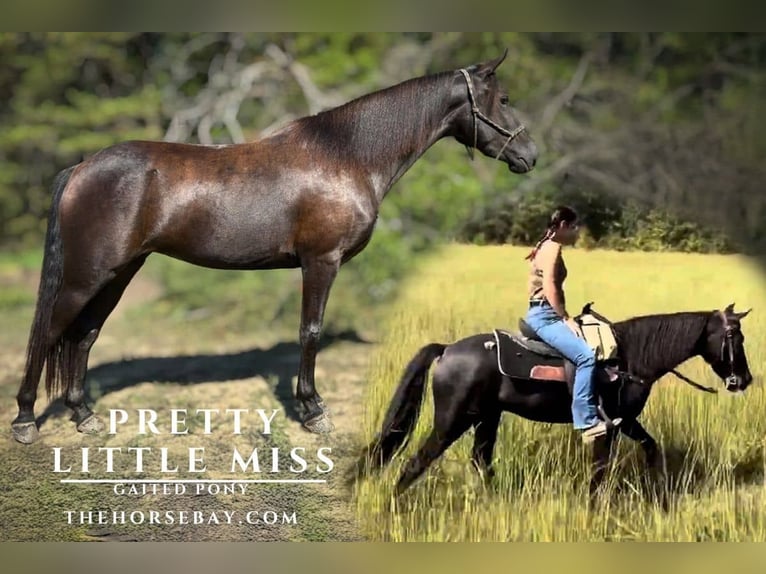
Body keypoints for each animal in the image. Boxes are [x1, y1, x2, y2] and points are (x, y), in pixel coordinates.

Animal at [11, 49, 538, 444]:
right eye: (504, 98)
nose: (531, 156)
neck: (347, 156)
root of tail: (81, 167)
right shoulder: (321, 262)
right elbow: (311, 331)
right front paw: (313, 411)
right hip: (86, 276)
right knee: (49, 333)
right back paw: (24, 420)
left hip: (119, 274)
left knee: (84, 336)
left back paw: (84, 416)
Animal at [357, 303, 754, 497]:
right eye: (734, 337)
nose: (744, 380)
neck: (629, 356)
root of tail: (447, 350)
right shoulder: (607, 426)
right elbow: (599, 471)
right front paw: (594, 511)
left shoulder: (627, 422)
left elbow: (651, 449)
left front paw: (656, 491)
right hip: (452, 420)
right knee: (417, 462)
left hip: (487, 417)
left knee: (480, 461)